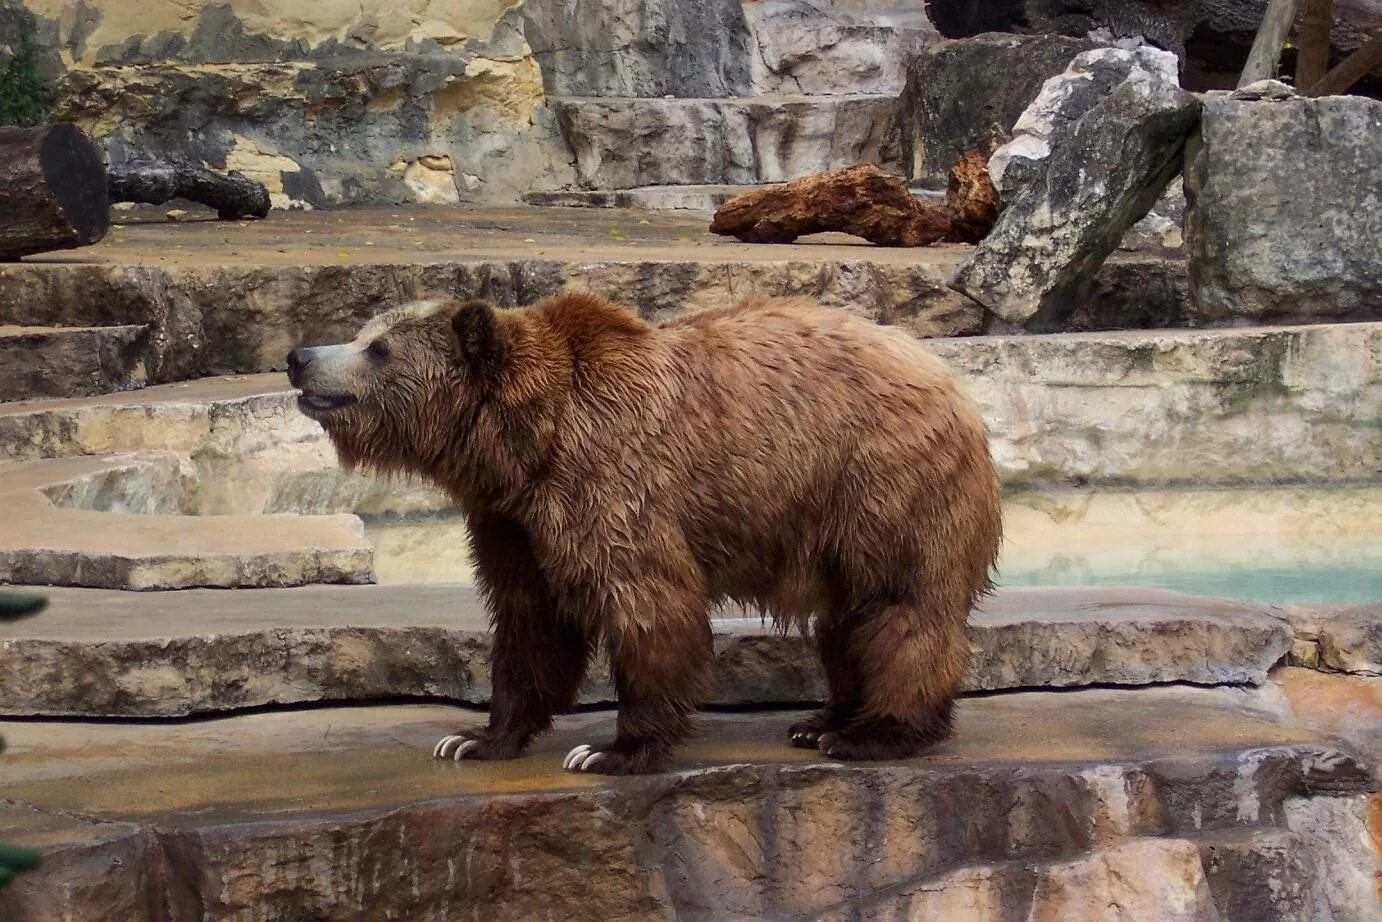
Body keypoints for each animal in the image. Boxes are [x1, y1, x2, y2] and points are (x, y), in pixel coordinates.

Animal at [288, 291, 1006, 774]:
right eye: (366, 331)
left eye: (378, 348)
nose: (299, 357)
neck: (528, 443)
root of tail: (955, 385)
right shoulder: (510, 522)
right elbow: (530, 622)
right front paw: (475, 739)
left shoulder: (610, 477)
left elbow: (646, 602)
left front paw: (612, 748)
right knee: (846, 619)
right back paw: (821, 718)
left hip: (879, 477)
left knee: (897, 605)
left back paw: (872, 732)